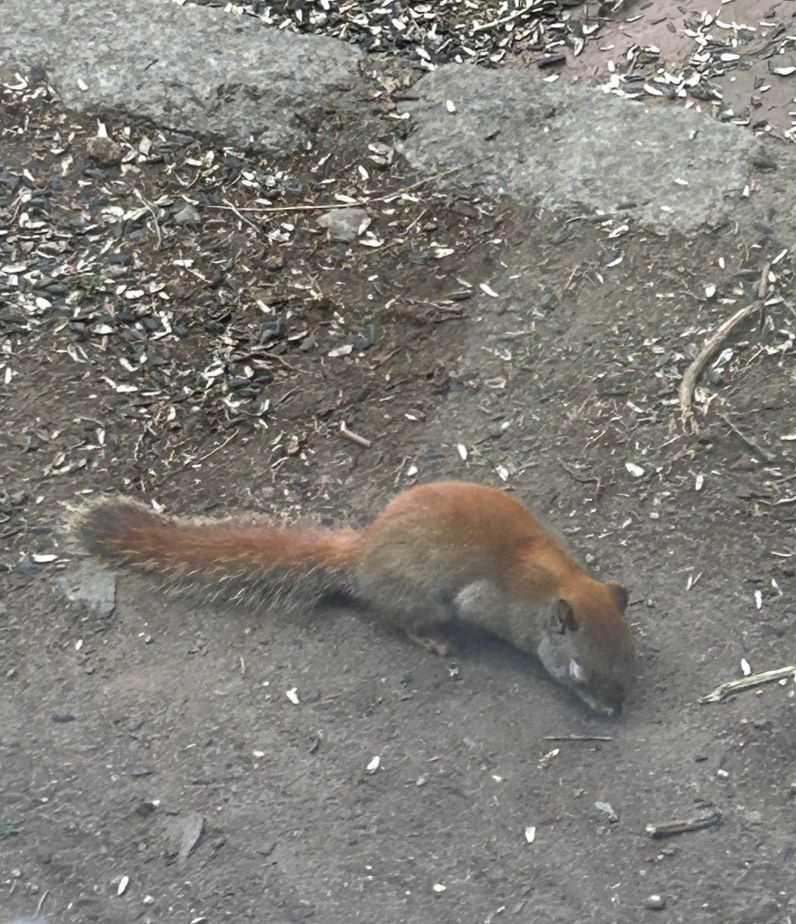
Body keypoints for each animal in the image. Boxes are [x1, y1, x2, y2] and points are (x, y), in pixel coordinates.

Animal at [73, 480, 635, 716]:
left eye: (629, 660)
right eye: (578, 668)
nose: (614, 711)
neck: (557, 579)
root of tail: (363, 553)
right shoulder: (488, 603)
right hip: (423, 599)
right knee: (397, 618)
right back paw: (432, 639)